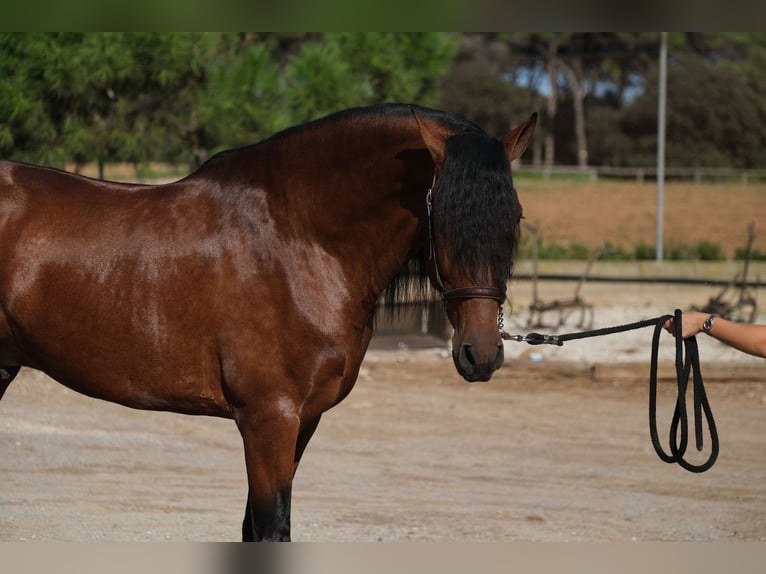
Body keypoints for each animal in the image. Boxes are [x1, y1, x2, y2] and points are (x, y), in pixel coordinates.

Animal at [0, 104, 536, 544]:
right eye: (443, 217)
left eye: (515, 217)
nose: (481, 354)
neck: (298, 239)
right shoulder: (268, 419)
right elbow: (272, 528)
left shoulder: (302, 421)